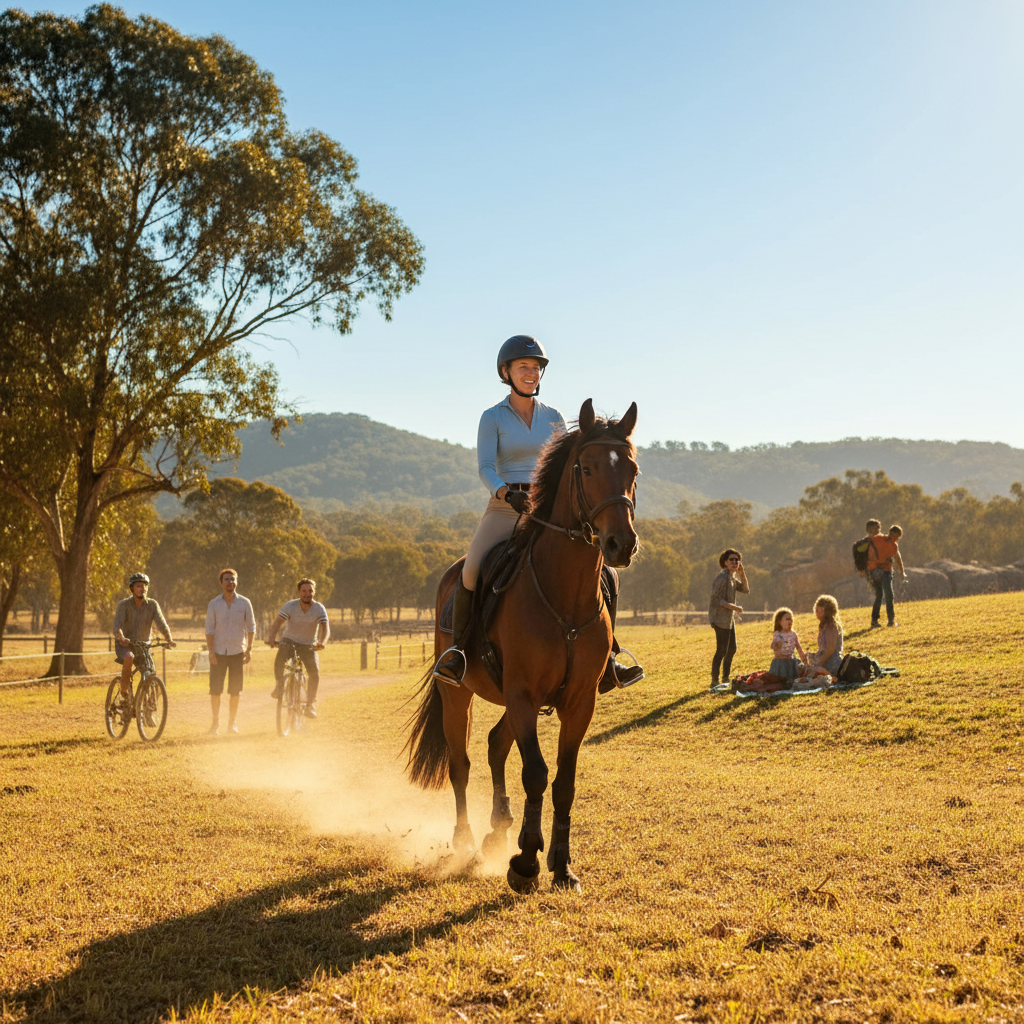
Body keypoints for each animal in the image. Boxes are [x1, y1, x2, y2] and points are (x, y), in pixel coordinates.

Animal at [403, 398, 639, 893]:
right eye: (586, 468)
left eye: (632, 469)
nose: (621, 544)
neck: (564, 597)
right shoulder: (524, 694)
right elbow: (535, 773)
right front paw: (526, 863)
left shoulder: (578, 702)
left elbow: (563, 781)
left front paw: (562, 866)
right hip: (459, 693)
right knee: (461, 762)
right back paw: (466, 840)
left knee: (495, 744)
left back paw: (499, 827)